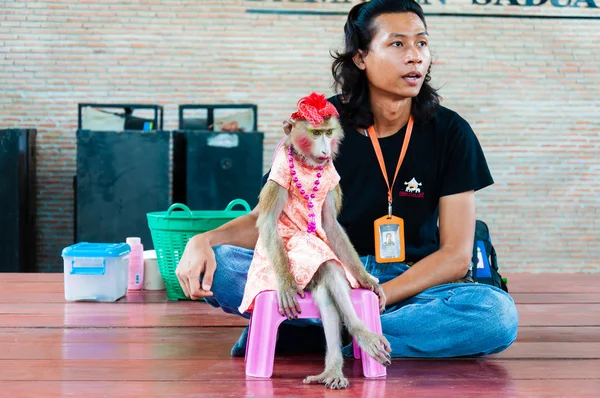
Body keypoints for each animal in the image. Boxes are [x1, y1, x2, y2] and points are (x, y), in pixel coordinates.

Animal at [239, 93, 394, 388]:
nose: (324, 149)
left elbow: (331, 225)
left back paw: (341, 357)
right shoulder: (279, 170)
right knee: (322, 263)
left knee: (329, 278)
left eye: (328, 132)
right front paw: (287, 285)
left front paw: (367, 280)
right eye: (315, 133)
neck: (306, 165)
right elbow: (268, 222)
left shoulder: (331, 175)